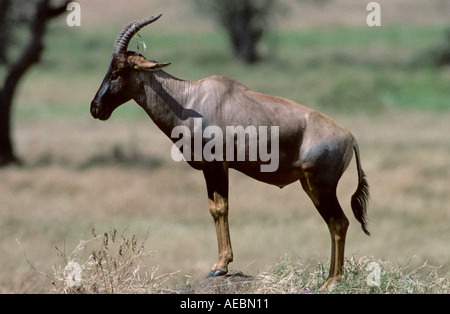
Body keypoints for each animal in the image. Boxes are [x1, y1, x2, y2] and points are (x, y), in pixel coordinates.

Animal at [90, 14, 370, 290]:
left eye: (117, 71)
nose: (96, 108)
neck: (191, 100)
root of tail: (349, 136)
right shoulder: (210, 167)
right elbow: (214, 208)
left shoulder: (217, 165)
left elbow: (220, 208)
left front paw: (220, 266)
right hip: (309, 186)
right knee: (333, 223)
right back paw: (329, 279)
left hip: (321, 185)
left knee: (339, 222)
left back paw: (332, 282)